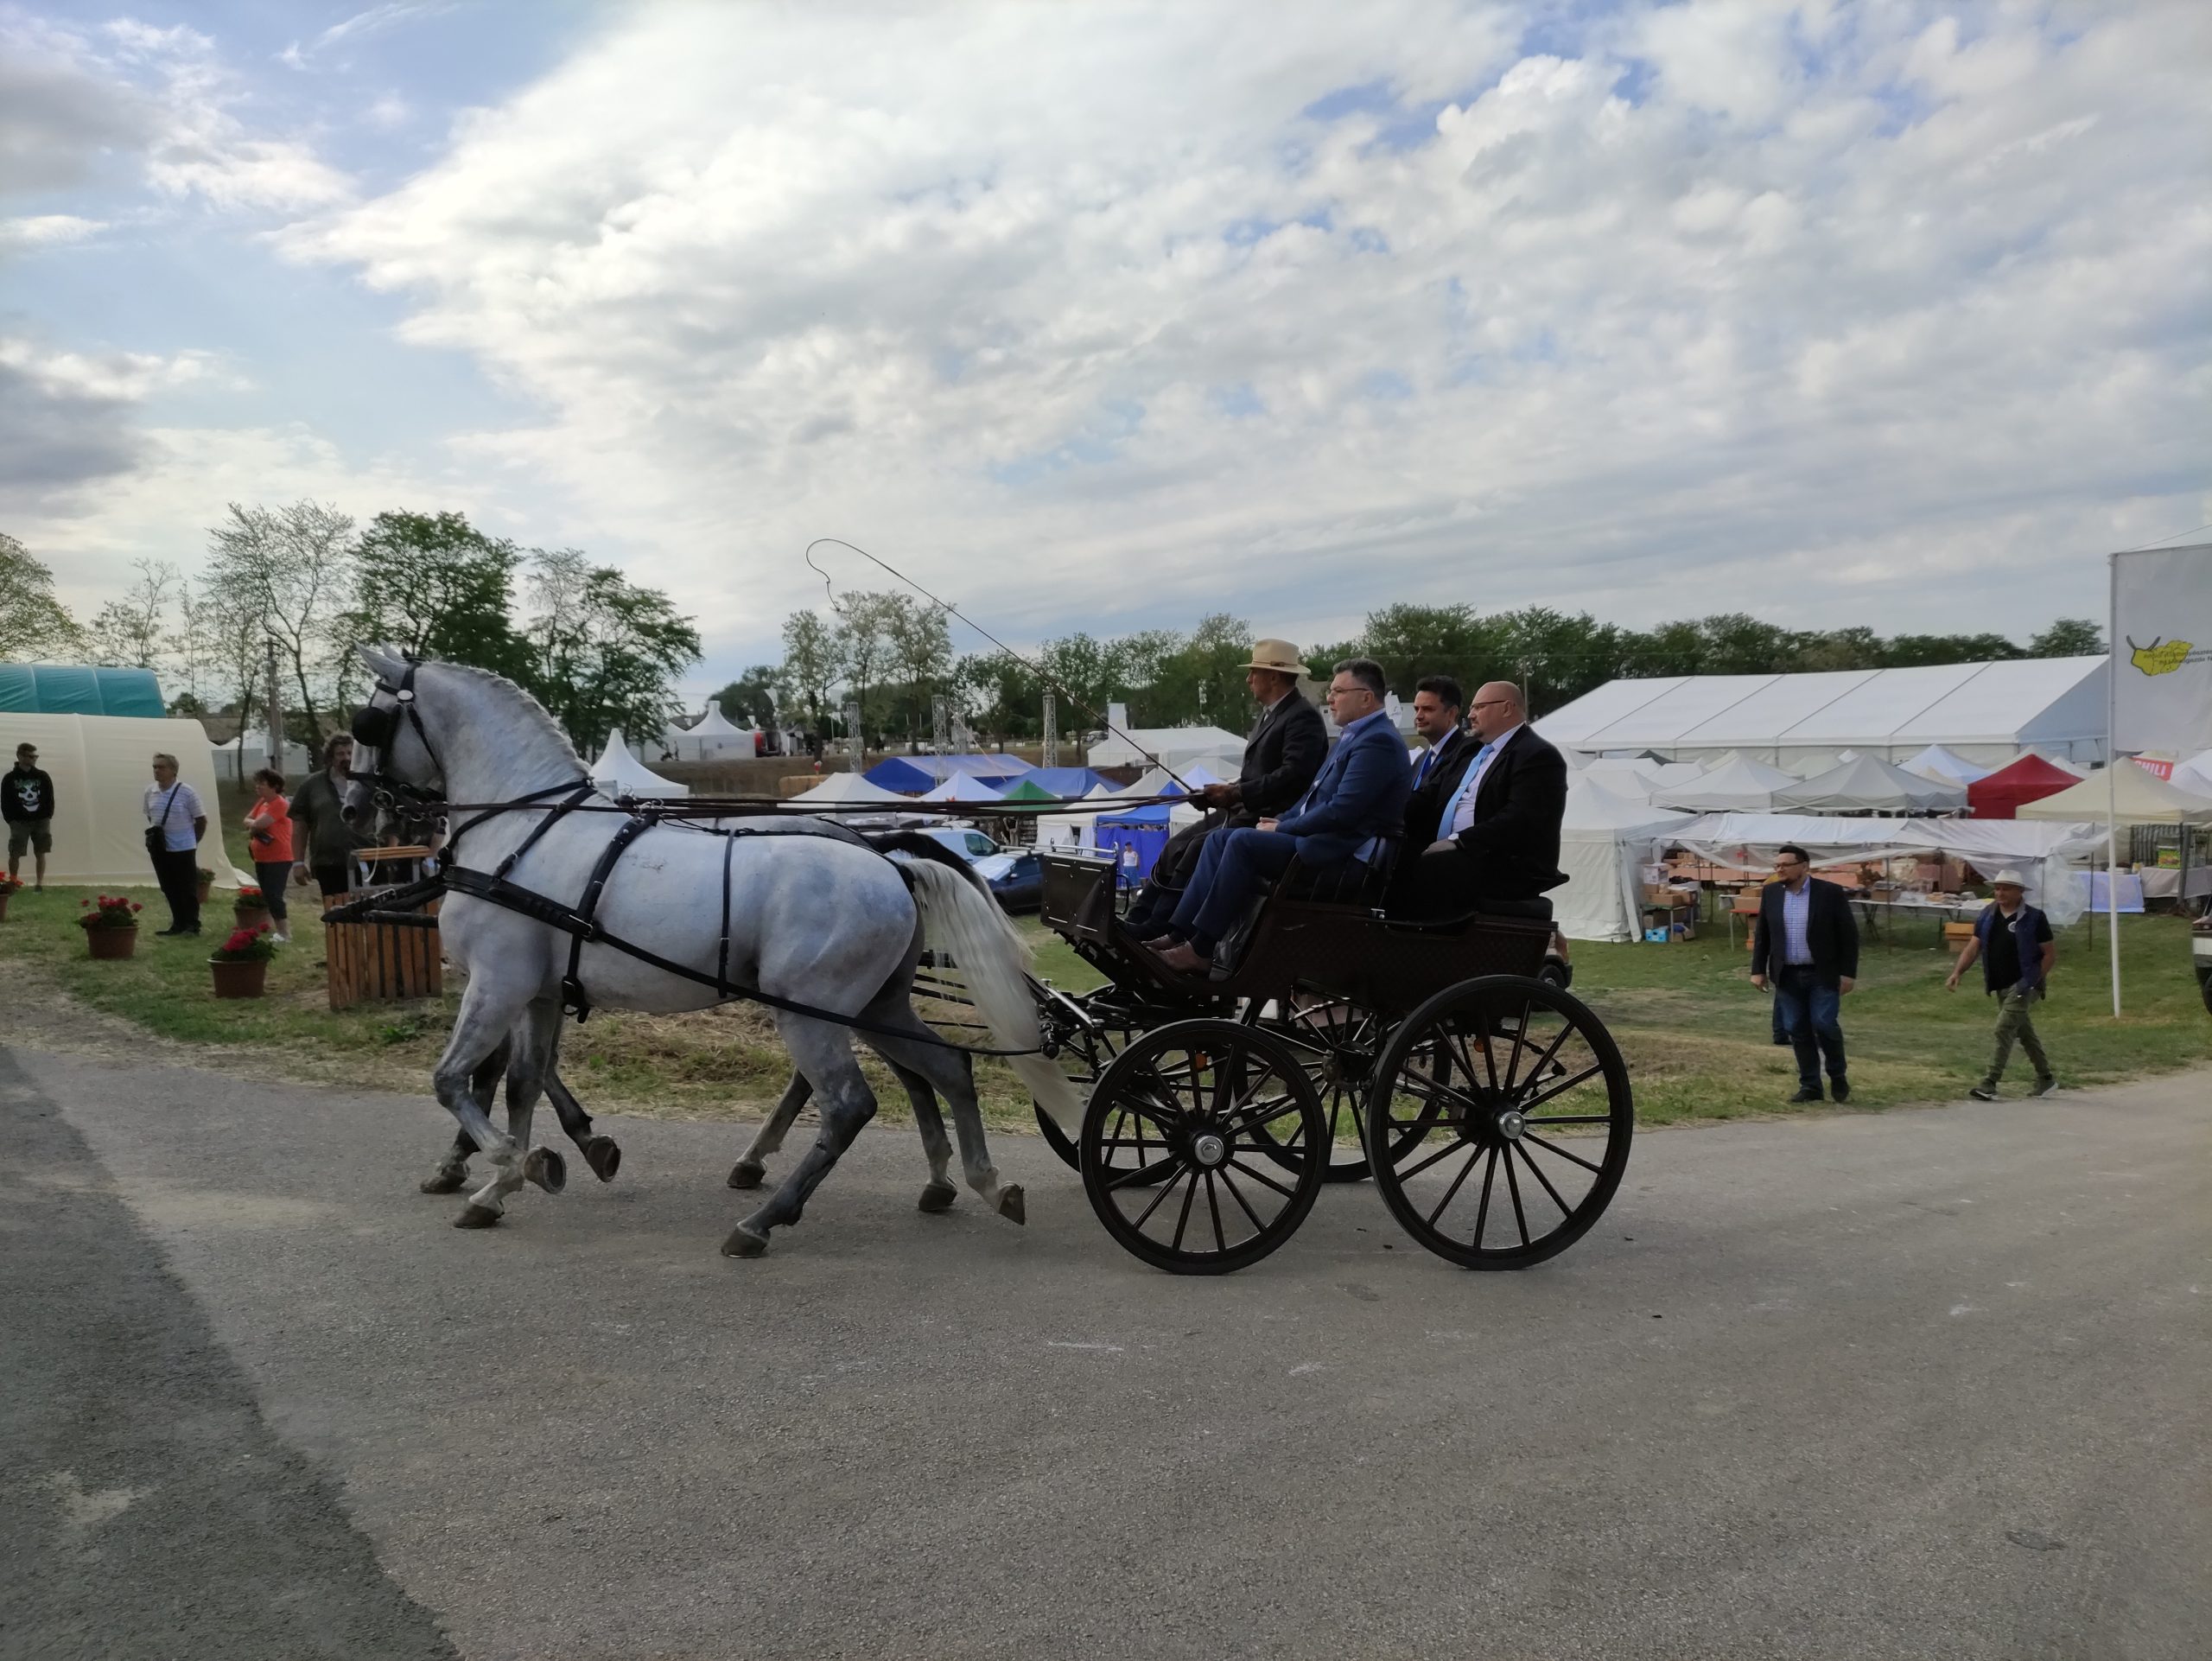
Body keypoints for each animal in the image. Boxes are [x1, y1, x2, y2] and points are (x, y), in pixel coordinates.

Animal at [338, 650, 1088, 1256]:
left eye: (366, 722)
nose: (351, 808)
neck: (523, 826)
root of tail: (887, 860)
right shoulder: (538, 992)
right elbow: (522, 1082)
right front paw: (506, 1182)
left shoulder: (496, 982)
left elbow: (452, 1080)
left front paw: (511, 1164)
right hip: (878, 1005)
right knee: (949, 1070)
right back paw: (981, 1182)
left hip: (811, 1012)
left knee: (848, 1105)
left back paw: (763, 1220)